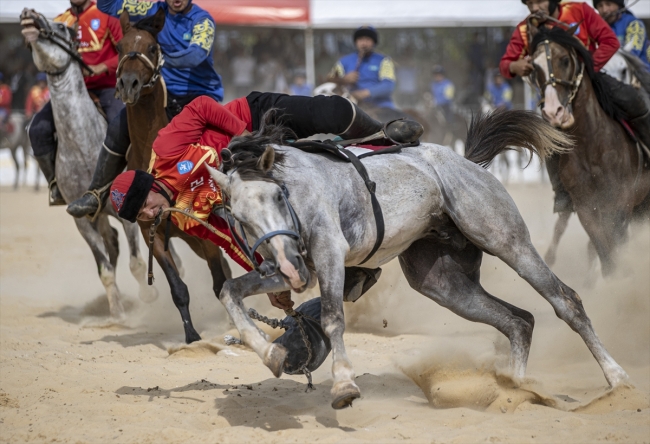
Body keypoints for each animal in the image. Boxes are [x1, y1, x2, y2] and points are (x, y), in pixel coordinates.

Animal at [21, 9, 156, 316]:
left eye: (61, 28)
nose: (28, 14)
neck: (83, 148)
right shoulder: (81, 220)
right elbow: (104, 269)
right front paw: (117, 311)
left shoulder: (126, 211)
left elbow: (137, 262)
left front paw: (147, 299)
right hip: (99, 215)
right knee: (112, 244)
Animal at [116, 10, 230, 344]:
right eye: (120, 46)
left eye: (152, 47)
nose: (129, 84)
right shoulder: (151, 232)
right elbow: (178, 289)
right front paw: (191, 336)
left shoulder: (203, 231)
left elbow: (220, 282)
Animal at [206, 110, 628, 410]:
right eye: (238, 216)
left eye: (278, 196)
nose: (290, 267)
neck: (299, 190)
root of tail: (465, 163)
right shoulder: (288, 268)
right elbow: (230, 292)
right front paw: (271, 352)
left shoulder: (328, 256)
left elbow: (332, 318)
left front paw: (344, 384)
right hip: (444, 285)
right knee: (518, 321)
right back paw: (515, 390)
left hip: (508, 242)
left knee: (565, 301)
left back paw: (617, 378)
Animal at [528, 26, 648, 276]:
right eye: (535, 67)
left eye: (565, 59)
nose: (553, 111)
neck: (592, 144)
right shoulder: (586, 207)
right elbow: (605, 252)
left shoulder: (620, 202)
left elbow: (615, 245)